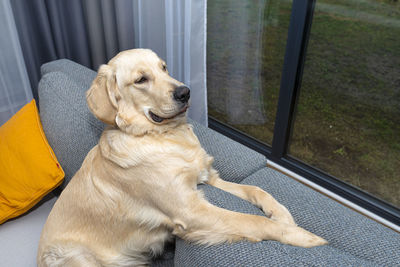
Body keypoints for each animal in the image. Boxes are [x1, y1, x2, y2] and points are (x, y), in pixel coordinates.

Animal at [37, 49, 326, 266]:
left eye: (164, 68)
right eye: (141, 79)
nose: (185, 92)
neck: (162, 136)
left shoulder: (206, 180)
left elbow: (257, 190)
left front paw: (283, 215)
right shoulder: (191, 211)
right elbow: (251, 220)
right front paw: (302, 236)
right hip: (79, 257)